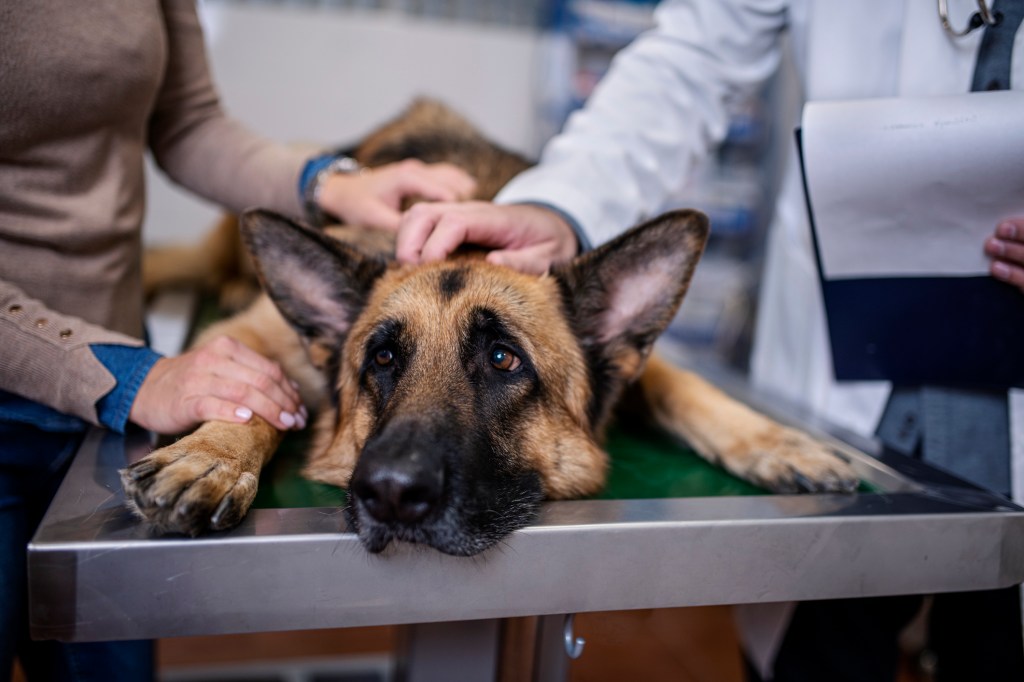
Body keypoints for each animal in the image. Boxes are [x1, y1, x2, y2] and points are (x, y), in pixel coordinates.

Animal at [121, 103, 856, 557]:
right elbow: (246, 392)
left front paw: (777, 442)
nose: (390, 492)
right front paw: (211, 456)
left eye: (504, 359)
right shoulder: (252, 338)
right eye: (382, 359)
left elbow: (686, 386)